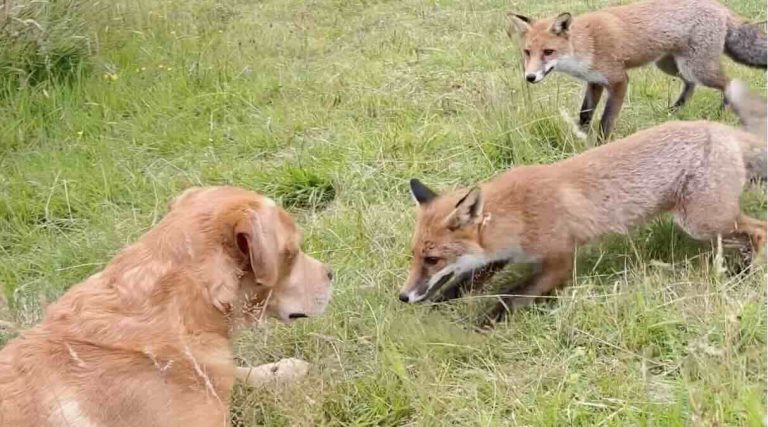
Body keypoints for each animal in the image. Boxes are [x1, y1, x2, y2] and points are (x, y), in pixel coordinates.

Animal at [398, 80, 766, 323]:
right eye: (414, 255)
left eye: (432, 259)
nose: (403, 296)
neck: (519, 212)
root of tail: (722, 129)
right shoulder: (501, 254)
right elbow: (462, 283)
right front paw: (436, 308)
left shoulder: (560, 261)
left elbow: (509, 298)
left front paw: (479, 328)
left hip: (702, 221)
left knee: (759, 230)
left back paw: (749, 273)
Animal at [508, 0, 767, 139]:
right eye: (527, 52)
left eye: (548, 52)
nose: (529, 77)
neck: (587, 44)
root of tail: (719, 6)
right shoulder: (594, 82)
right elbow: (585, 114)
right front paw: (580, 136)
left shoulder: (618, 80)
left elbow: (606, 120)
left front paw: (601, 144)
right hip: (671, 66)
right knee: (690, 84)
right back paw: (676, 109)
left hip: (698, 68)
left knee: (729, 82)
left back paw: (723, 111)